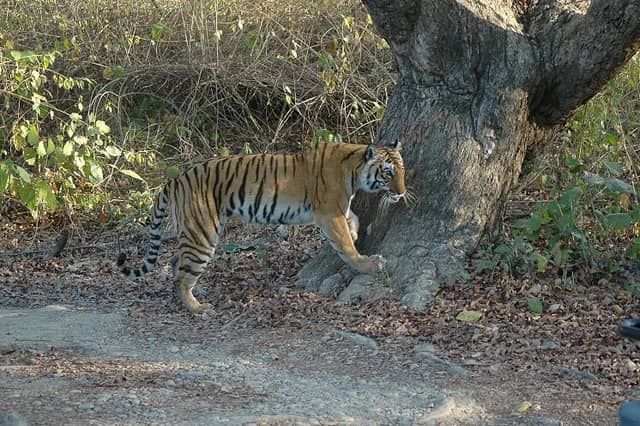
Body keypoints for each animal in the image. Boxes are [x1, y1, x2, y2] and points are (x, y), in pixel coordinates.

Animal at [117, 141, 406, 314]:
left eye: (402, 171)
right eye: (388, 173)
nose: (402, 192)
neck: (354, 168)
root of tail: (176, 180)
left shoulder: (337, 210)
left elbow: (353, 220)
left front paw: (356, 231)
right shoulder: (329, 213)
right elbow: (345, 244)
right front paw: (368, 264)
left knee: (176, 261)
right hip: (203, 233)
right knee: (182, 272)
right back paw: (197, 307)